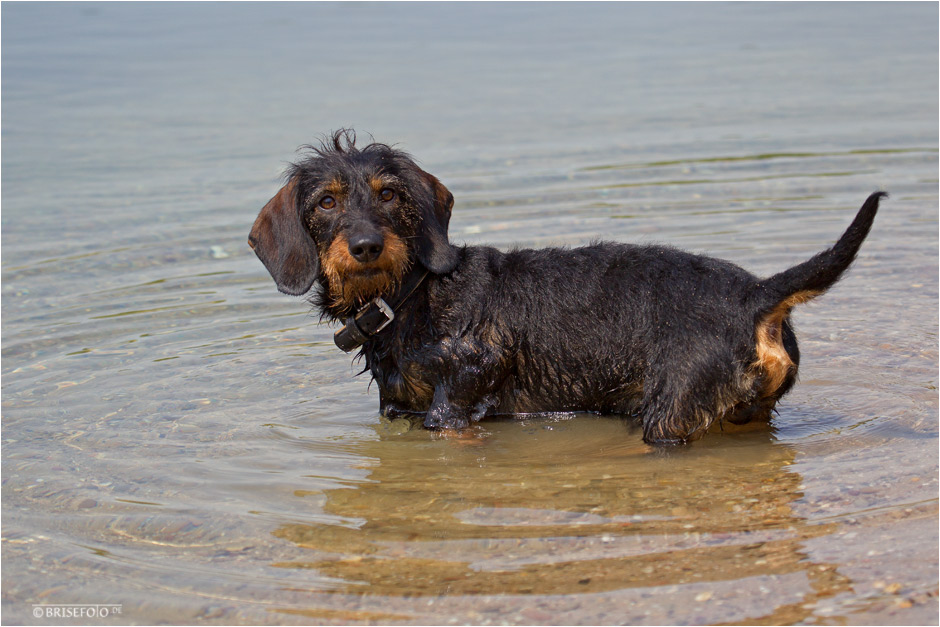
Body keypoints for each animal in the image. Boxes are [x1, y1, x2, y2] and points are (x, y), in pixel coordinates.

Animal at [248, 130, 880, 446]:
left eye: (389, 194)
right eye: (326, 202)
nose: (365, 246)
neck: (408, 297)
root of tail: (755, 296)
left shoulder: (462, 390)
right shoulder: (396, 410)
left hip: (670, 413)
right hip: (749, 412)